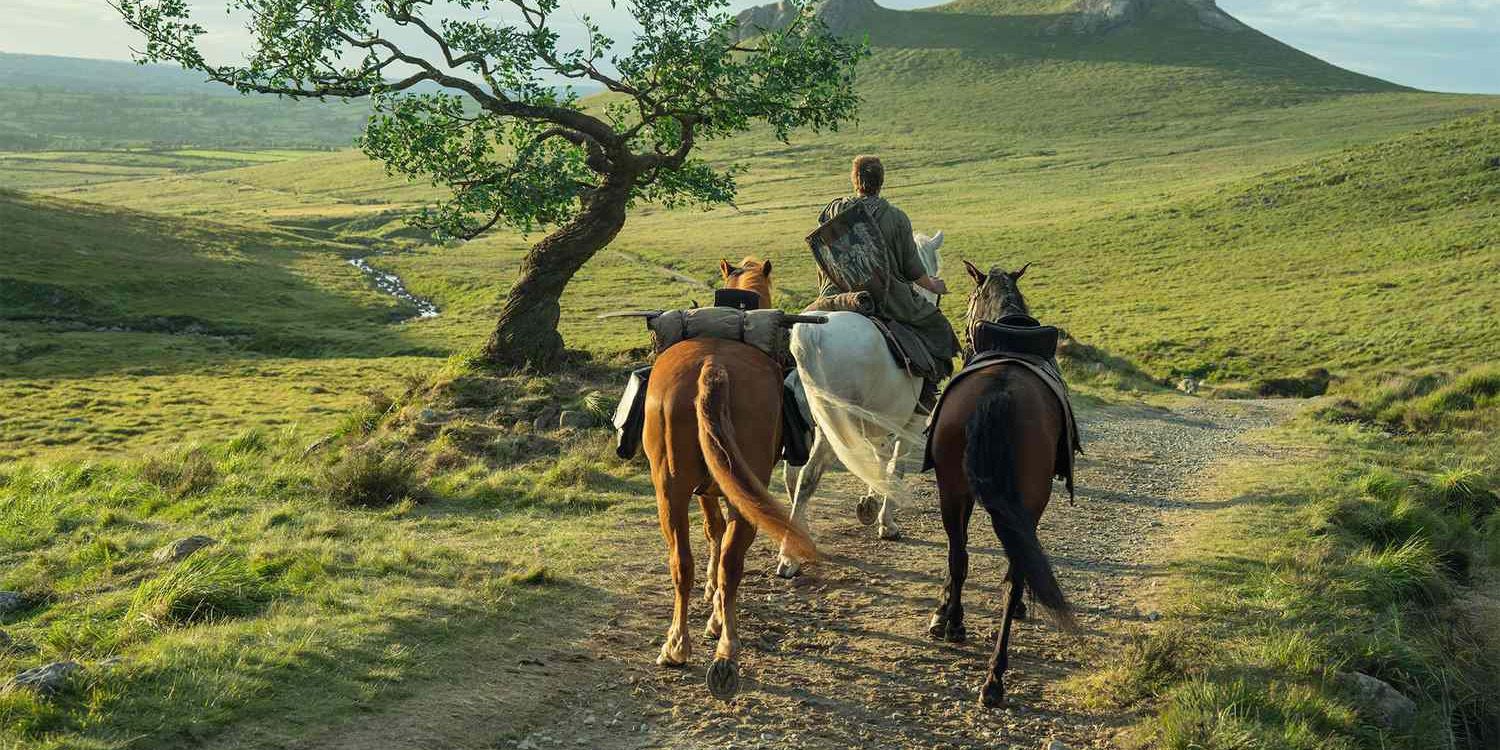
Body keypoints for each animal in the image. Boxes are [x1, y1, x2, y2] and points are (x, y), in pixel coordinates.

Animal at [641, 256, 817, 701]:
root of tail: (712, 366)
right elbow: (717, 535)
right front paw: (717, 611)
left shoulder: (702, 489)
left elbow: (711, 533)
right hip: (742, 493)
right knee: (731, 564)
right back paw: (725, 650)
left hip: (669, 491)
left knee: (681, 562)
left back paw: (676, 646)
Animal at [775, 231, 944, 579]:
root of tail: (811, 332)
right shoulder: (910, 423)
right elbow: (895, 466)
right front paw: (886, 521)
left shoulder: (878, 425)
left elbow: (877, 462)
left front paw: (871, 503)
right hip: (832, 427)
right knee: (808, 476)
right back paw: (790, 557)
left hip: (811, 427)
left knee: (793, 476)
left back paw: (800, 539)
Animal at [926, 260, 1074, 707]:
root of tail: (999, 392)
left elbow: (958, 557)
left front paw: (944, 614)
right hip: (1021, 501)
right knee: (1013, 572)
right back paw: (994, 674)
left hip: (952, 489)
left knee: (959, 557)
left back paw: (957, 628)